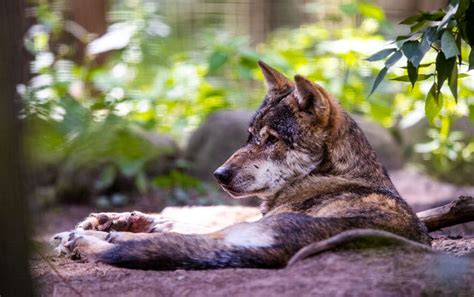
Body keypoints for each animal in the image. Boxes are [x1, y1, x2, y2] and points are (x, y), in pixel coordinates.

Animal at [51, 61, 430, 270]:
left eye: (272, 140)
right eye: (249, 136)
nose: (218, 175)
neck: (331, 174)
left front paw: (106, 228)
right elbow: (185, 219)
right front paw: (121, 219)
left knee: (156, 245)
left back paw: (84, 238)